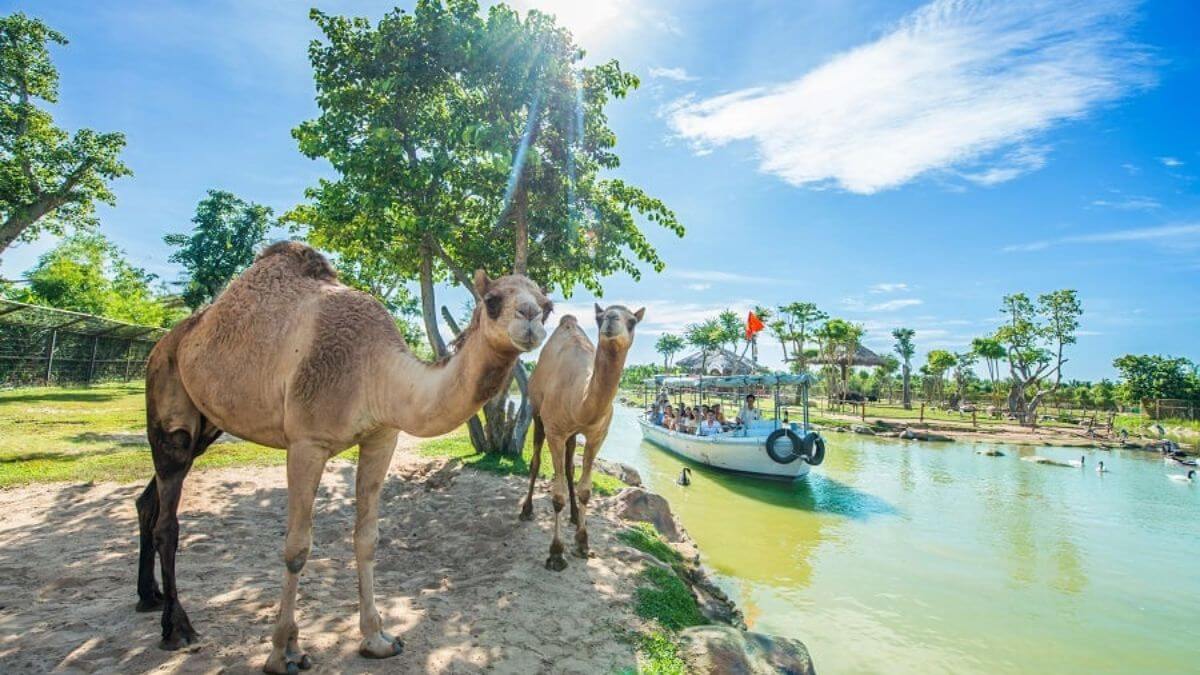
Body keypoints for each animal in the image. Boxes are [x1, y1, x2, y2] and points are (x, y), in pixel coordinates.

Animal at [134, 241, 551, 673]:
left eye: (548, 305)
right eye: (492, 300)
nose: (530, 319)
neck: (375, 370)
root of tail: (168, 342)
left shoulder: (382, 437)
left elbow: (367, 538)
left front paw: (377, 640)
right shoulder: (306, 442)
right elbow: (297, 548)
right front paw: (283, 652)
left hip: (207, 424)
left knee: (149, 500)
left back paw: (148, 598)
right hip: (168, 400)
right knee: (168, 516)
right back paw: (177, 628)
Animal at [520, 303, 643, 570]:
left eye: (632, 321)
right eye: (599, 317)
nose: (611, 319)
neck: (579, 401)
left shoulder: (597, 435)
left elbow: (585, 489)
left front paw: (583, 544)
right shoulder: (555, 431)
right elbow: (556, 496)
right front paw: (556, 553)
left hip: (572, 435)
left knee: (568, 468)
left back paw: (576, 517)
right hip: (537, 413)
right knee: (535, 462)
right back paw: (526, 510)